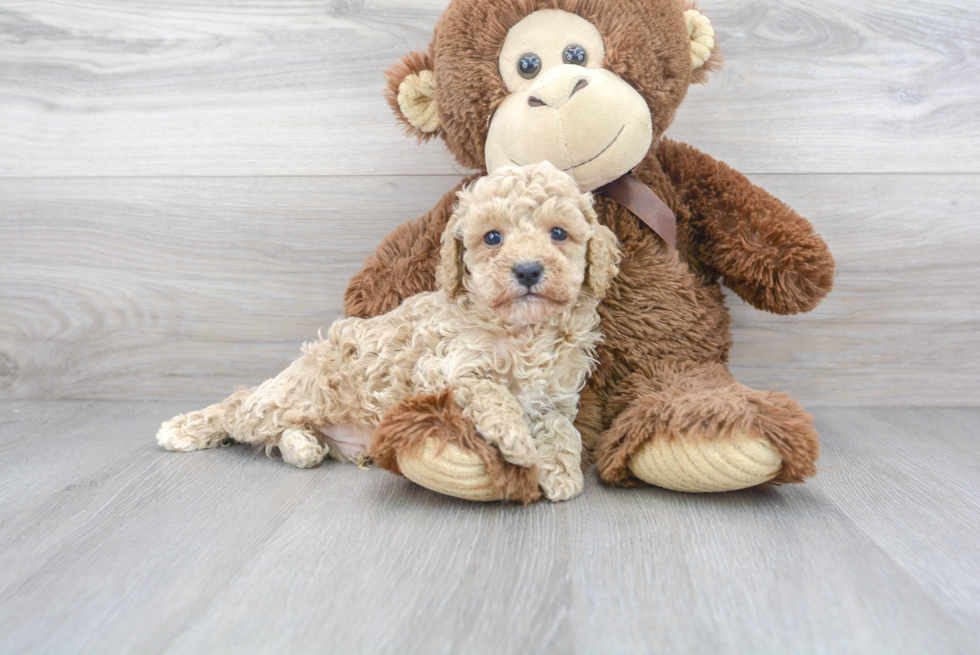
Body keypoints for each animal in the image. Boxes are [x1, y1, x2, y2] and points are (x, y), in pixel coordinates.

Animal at [159, 163, 620, 502]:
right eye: (492, 237)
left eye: (558, 233)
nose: (527, 270)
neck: (525, 331)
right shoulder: (447, 369)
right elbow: (494, 392)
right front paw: (518, 441)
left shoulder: (558, 398)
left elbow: (563, 429)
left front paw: (560, 471)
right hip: (299, 394)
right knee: (240, 406)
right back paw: (183, 429)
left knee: (284, 430)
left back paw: (304, 447)